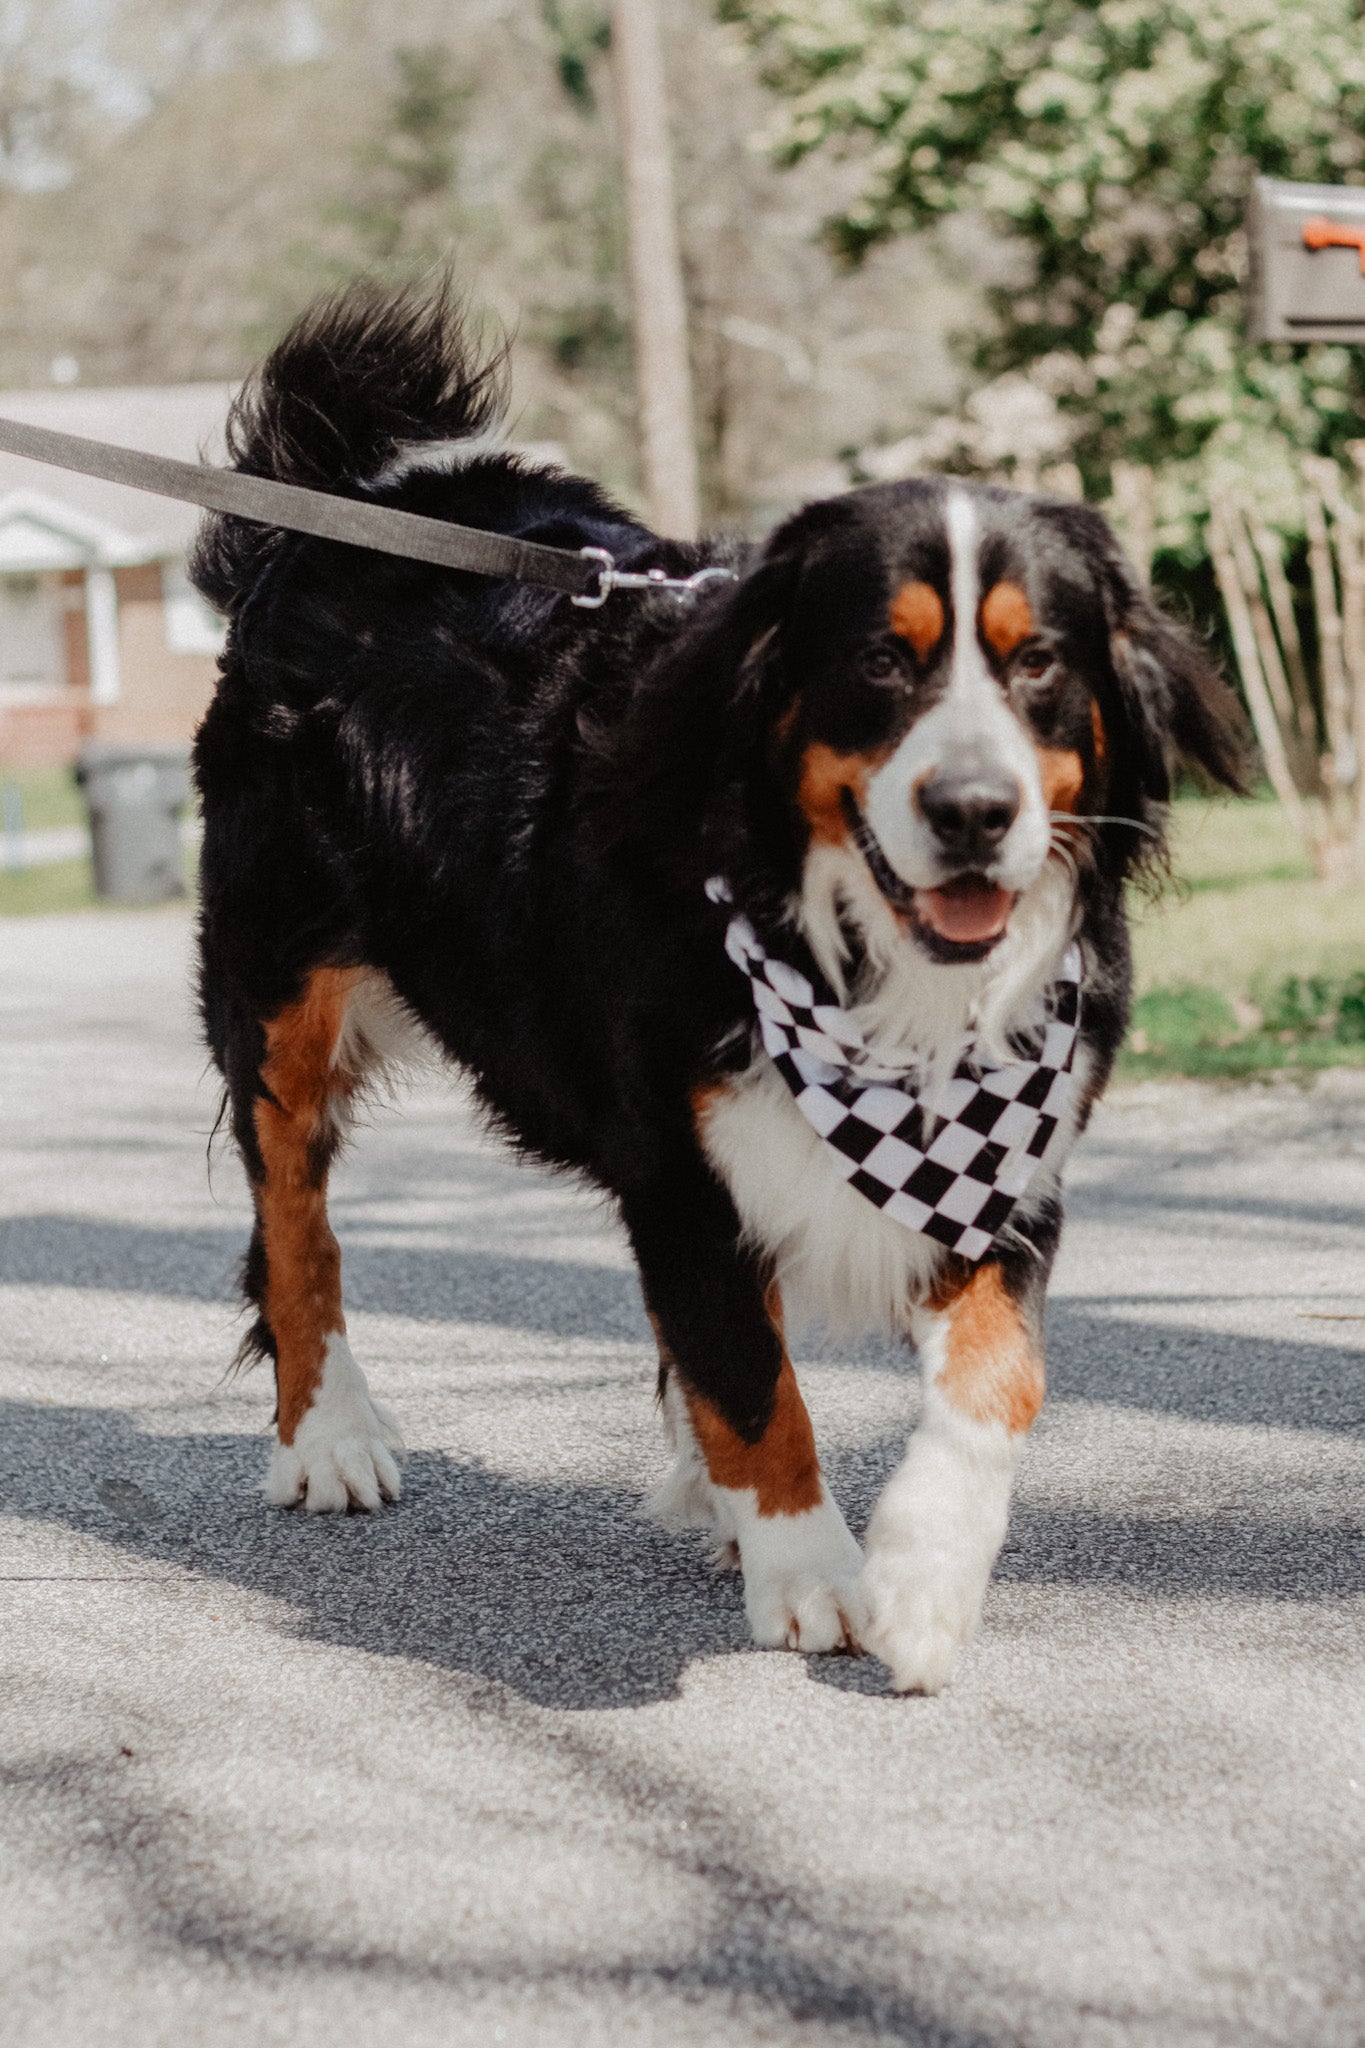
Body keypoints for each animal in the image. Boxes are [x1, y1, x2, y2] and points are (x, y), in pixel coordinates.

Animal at [192, 288, 1252, 1695]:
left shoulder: (1007, 1160)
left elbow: (995, 1378)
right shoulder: (683, 1162)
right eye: (880, 660)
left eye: (1037, 663)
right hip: (280, 995)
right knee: (295, 1220)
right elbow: (755, 1377)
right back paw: (331, 1438)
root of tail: (354, 497)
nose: (976, 810)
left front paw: (921, 1573)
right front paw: (808, 1567)